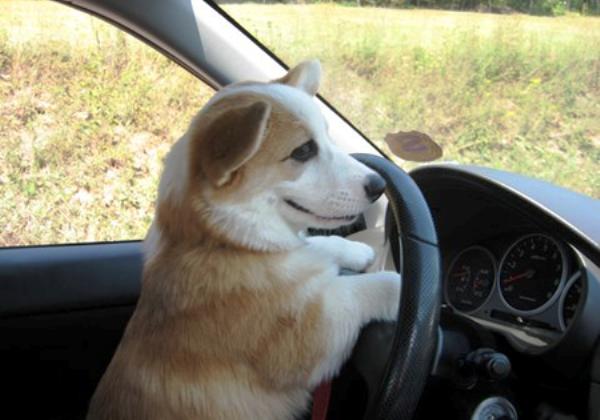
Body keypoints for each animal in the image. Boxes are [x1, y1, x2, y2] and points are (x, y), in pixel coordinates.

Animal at [86, 60, 400, 420]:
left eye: (327, 135)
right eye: (303, 151)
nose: (379, 185)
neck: (224, 241)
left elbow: (322, 246)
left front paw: (357, 249)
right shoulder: (312, 334)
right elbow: (362, 290)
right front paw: (401, 287)